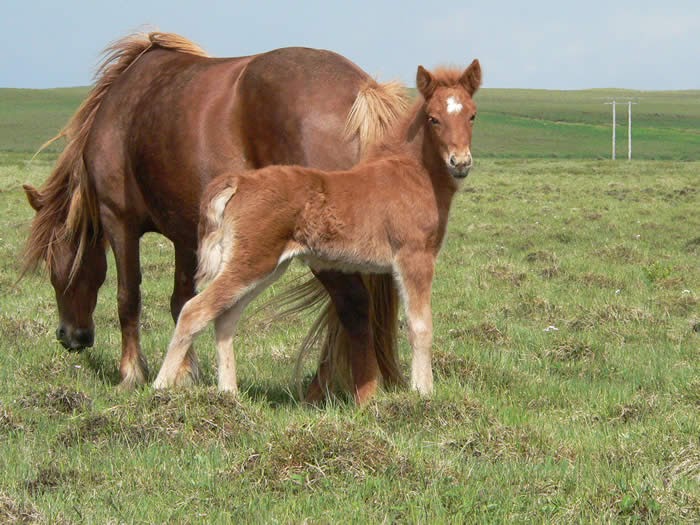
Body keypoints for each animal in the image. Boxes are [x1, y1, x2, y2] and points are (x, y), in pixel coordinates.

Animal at [22, 32, 410, 402]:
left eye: (53, 266)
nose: (71, 336)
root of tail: (363, 89)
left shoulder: (119, 221)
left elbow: (128, 298)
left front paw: (132, 375)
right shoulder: (185, 235)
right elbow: (182, 301)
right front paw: (185, 375)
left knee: (353, 305)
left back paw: (359, 395)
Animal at [153, 60, 482, 399]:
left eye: (472, 114)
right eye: (433, 118)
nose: (460, 162)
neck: (411, 175)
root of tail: (240, 182)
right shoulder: (414, 258)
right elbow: (420, 327)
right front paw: (423, 394)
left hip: (266, 267)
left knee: (226, 317)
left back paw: (229, 394)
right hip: (251, 263)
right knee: (194, 310)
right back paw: (160, 389)